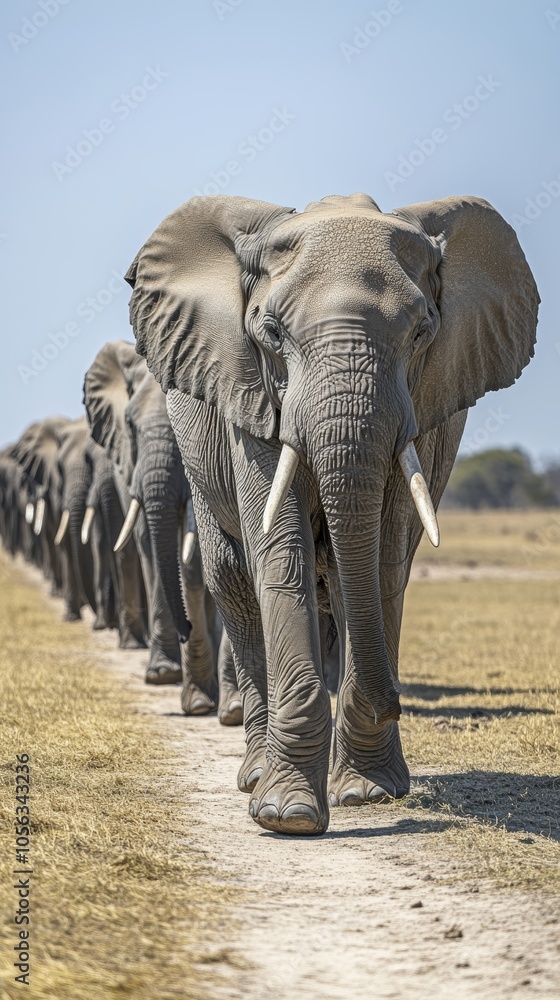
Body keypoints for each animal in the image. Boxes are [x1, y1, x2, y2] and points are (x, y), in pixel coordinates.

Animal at [123, 192, 538, 837]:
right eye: (270, 332)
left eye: (423, 332)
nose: (390, 702)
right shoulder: (251, 398)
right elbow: (281, 550)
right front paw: (286, 816)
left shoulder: (423, 412)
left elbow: (379, 561)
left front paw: (366, 794)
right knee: (232, 579)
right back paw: (253, 773)